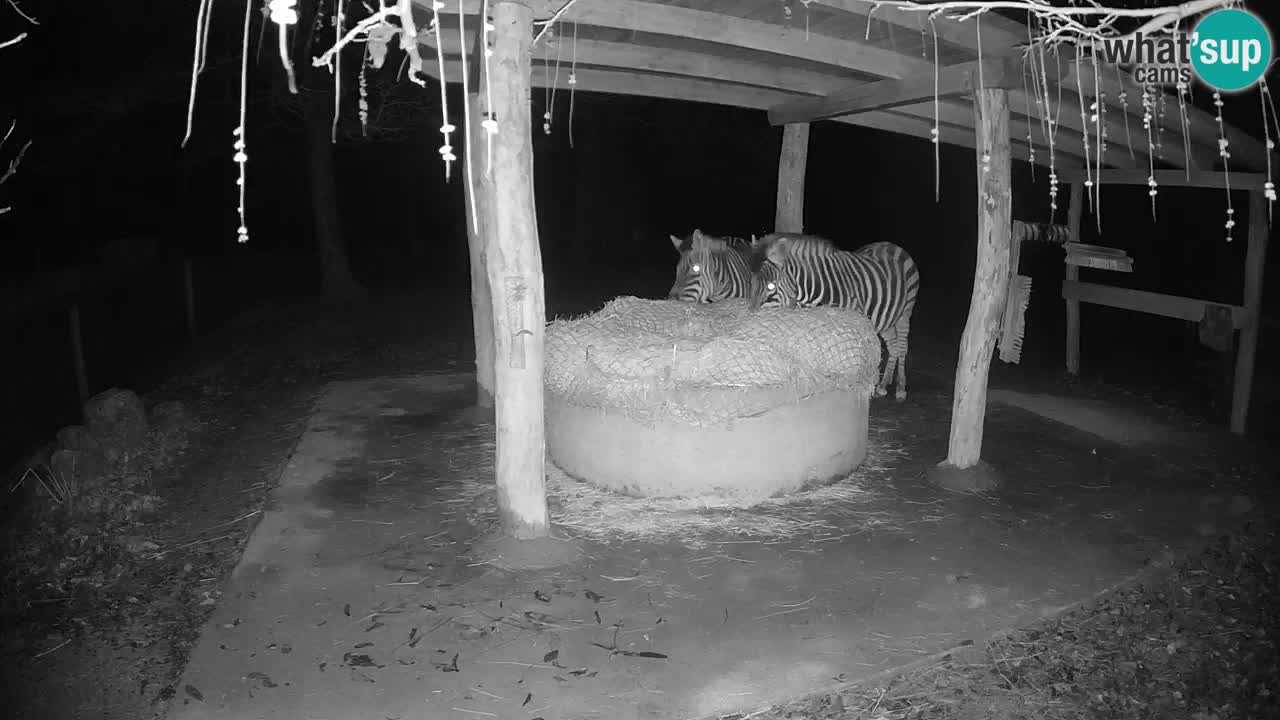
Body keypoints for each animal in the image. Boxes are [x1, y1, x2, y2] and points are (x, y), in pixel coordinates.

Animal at [747, 230, 921, 397]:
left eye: (771, 286)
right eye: (752, 283)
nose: (751, 317)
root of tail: (889, 244)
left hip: (906, 313)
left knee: (902, 347)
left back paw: (900, 388)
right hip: (886, 319)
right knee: (893, 347)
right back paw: (884, 385)